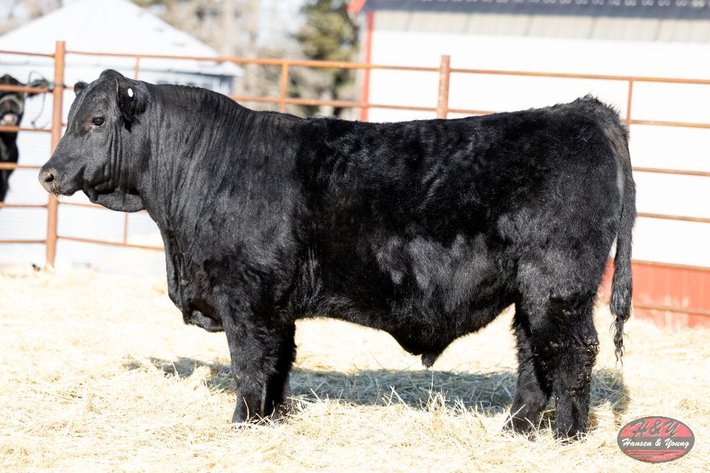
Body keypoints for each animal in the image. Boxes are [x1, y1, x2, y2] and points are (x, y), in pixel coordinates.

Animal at [39, 70, 635, 439]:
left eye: (96, 120)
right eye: (71, 116)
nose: (47, 173)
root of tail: (583, 111)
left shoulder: (245, 295)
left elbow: (249, 363)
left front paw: (241, 424)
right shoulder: (275, 304)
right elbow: (278, 362)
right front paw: (270, 422)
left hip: (559, 286)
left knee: (574, 352)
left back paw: (565, 436)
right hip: (532, 294)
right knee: (533, 355)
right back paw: (517, 430)